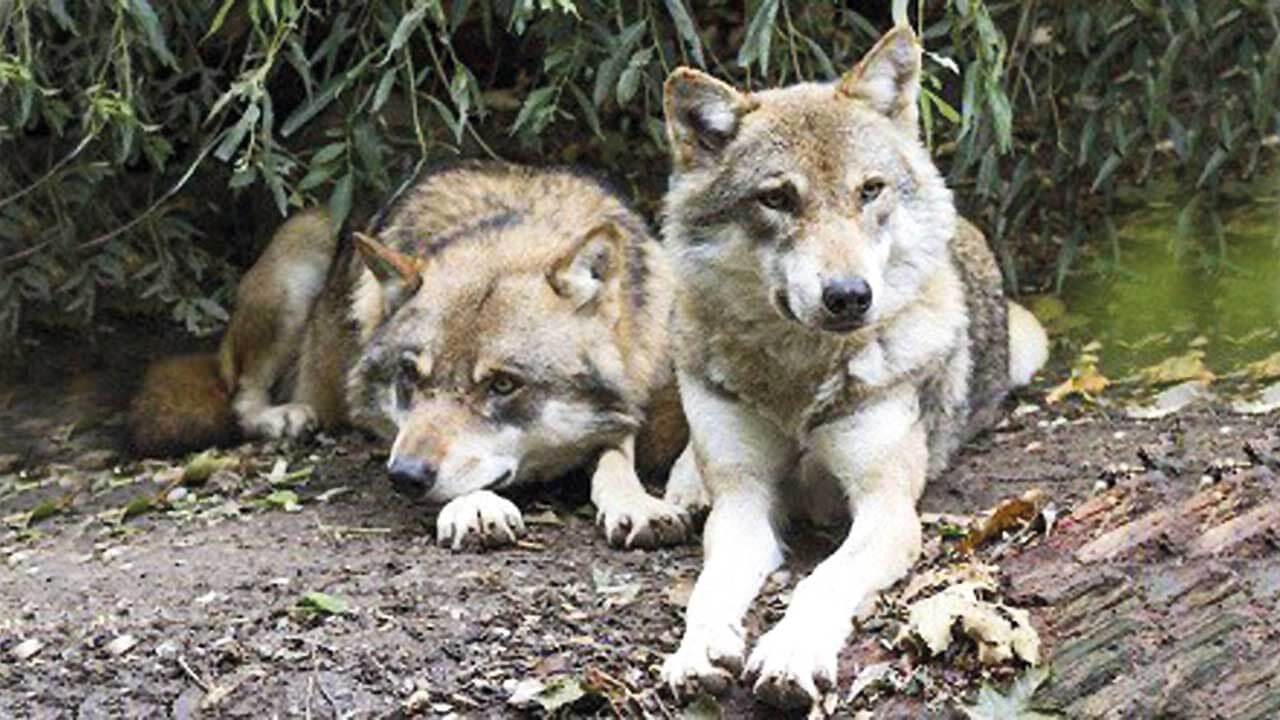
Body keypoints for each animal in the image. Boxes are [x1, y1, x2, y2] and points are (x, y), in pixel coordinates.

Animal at [130, 162, 691, 550]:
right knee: (239, 393)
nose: (404, 477)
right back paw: (285, 417)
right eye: (409, 376)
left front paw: (637, 503)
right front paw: (474, 508)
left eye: (502, 385)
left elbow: (617, 454)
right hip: (302, 249)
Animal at [655, 26, 1049, 708]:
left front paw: (790, 652)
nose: (848, 296)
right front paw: (697, 650)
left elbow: (824, 580)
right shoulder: (744, 503)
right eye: (777, 198)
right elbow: (710, 588)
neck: (797, 377)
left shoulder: (886, 508)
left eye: (869, 190)